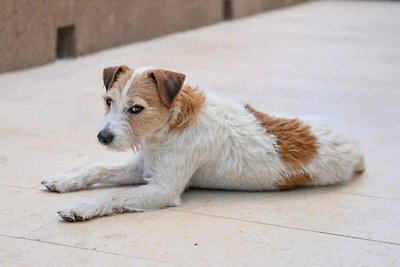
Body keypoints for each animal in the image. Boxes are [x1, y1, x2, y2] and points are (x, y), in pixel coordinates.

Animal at [42, 65, 364, 222]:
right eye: (108, 101)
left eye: (136, 108)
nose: (103, 137)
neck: (171, 124)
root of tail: (355, 143)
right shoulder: (142, 167)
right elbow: (95, 168)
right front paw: (63, 180)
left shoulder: (162, 189)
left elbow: (112, 195)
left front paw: (80, 207)